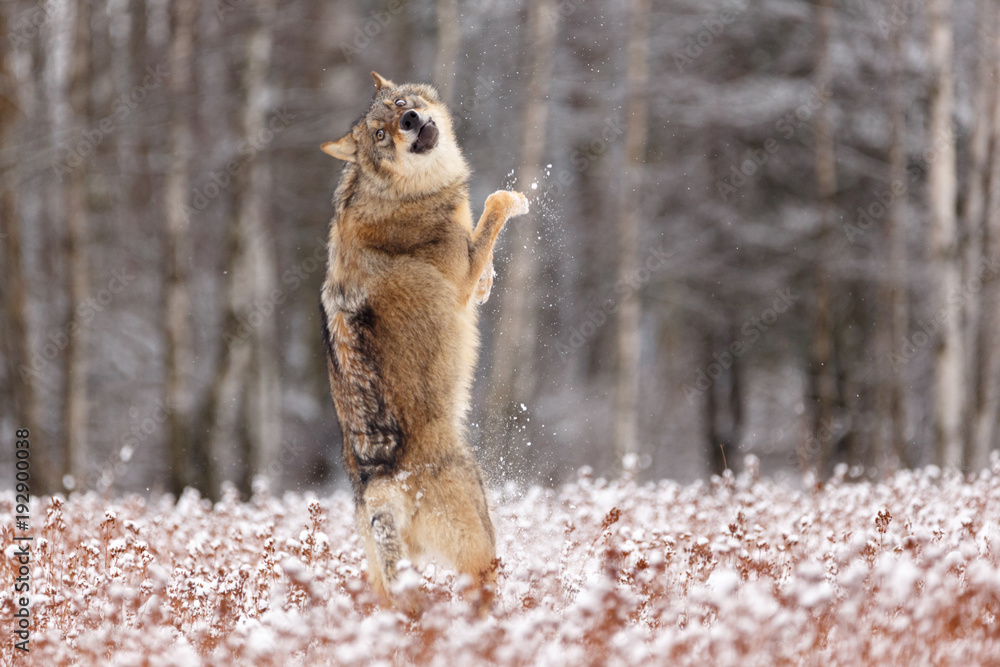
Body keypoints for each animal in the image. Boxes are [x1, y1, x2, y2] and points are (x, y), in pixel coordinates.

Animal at [319, 71, 528, 613]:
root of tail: (380, 488)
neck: (399, 193)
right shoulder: (461, 272)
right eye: (380, 134)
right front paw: (519, 202)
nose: (411, 119)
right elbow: (495, 204)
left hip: (384, 580)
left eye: (399, 105)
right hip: (483, 543)